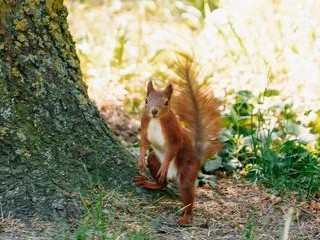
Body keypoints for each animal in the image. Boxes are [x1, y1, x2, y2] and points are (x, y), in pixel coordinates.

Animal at [132, 59, 220, 224]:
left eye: (166, 102)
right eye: (146, 100)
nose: (154, 111)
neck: (156, 120)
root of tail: (198, 159)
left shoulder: (174, 132)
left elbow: (174, 146)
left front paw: (165, 164)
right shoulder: (144, 124)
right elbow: (144, 143)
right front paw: (140, 160)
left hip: (187, 171)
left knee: (188, 194)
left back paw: (186, 217)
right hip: (154, 160)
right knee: (162, 182)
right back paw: (149, 183)